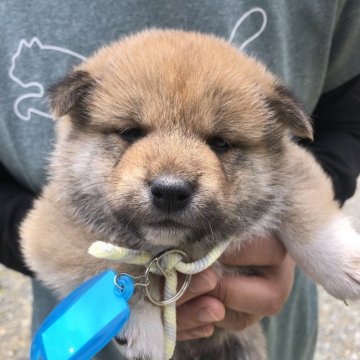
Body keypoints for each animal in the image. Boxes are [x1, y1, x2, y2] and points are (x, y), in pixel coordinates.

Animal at [21, 29, 360, 358]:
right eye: (131, 133)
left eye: (220, 143)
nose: (170, 192)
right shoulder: (48, 227)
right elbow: (117, 268)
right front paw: (144, 328)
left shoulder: (293, 170)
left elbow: (309, 213)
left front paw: (344, 262)